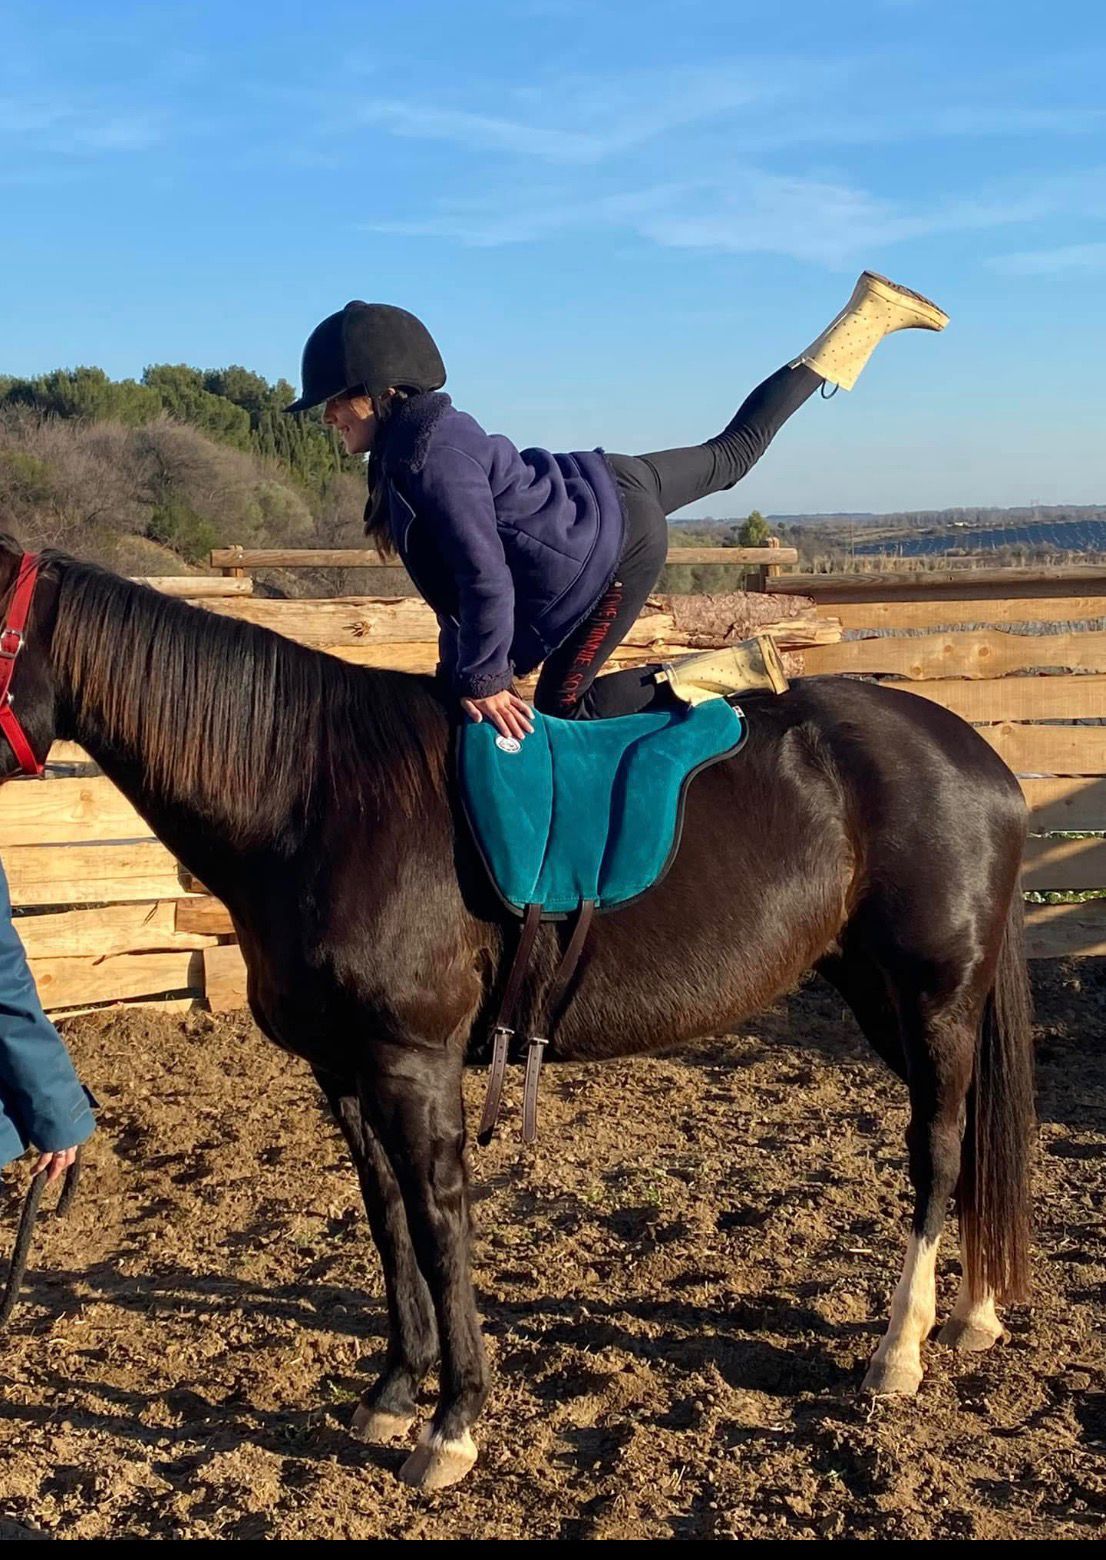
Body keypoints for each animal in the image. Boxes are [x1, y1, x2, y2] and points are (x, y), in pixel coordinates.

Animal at [0, 535, 1034, 1490]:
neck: (315, 796)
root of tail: (980, 757)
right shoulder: (344, 1074)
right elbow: (385, 1219)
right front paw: (393, 1392)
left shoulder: (415, 1066)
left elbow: (436, 1224)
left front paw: (452, 1425)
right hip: (879, 996)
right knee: (965, 1131)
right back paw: (973, 1313)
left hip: (933, 996)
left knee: (938, 1147)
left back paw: (898, 1350)